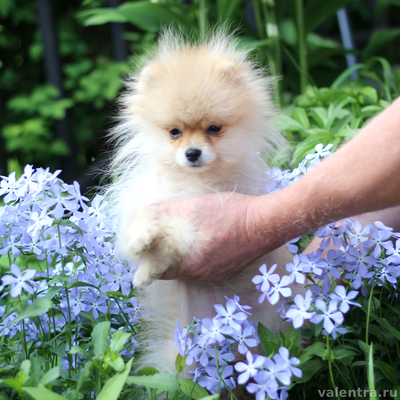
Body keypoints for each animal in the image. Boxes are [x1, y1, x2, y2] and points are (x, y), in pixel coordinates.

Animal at [108, 30, 302, 372]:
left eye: (214, 128)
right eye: (174, 132)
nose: (192, 153)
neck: (194, 182)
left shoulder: (200, 216)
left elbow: (176, 235)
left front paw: (151, 263)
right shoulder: (152, 198)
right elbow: (140, 223)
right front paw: (143, 242)